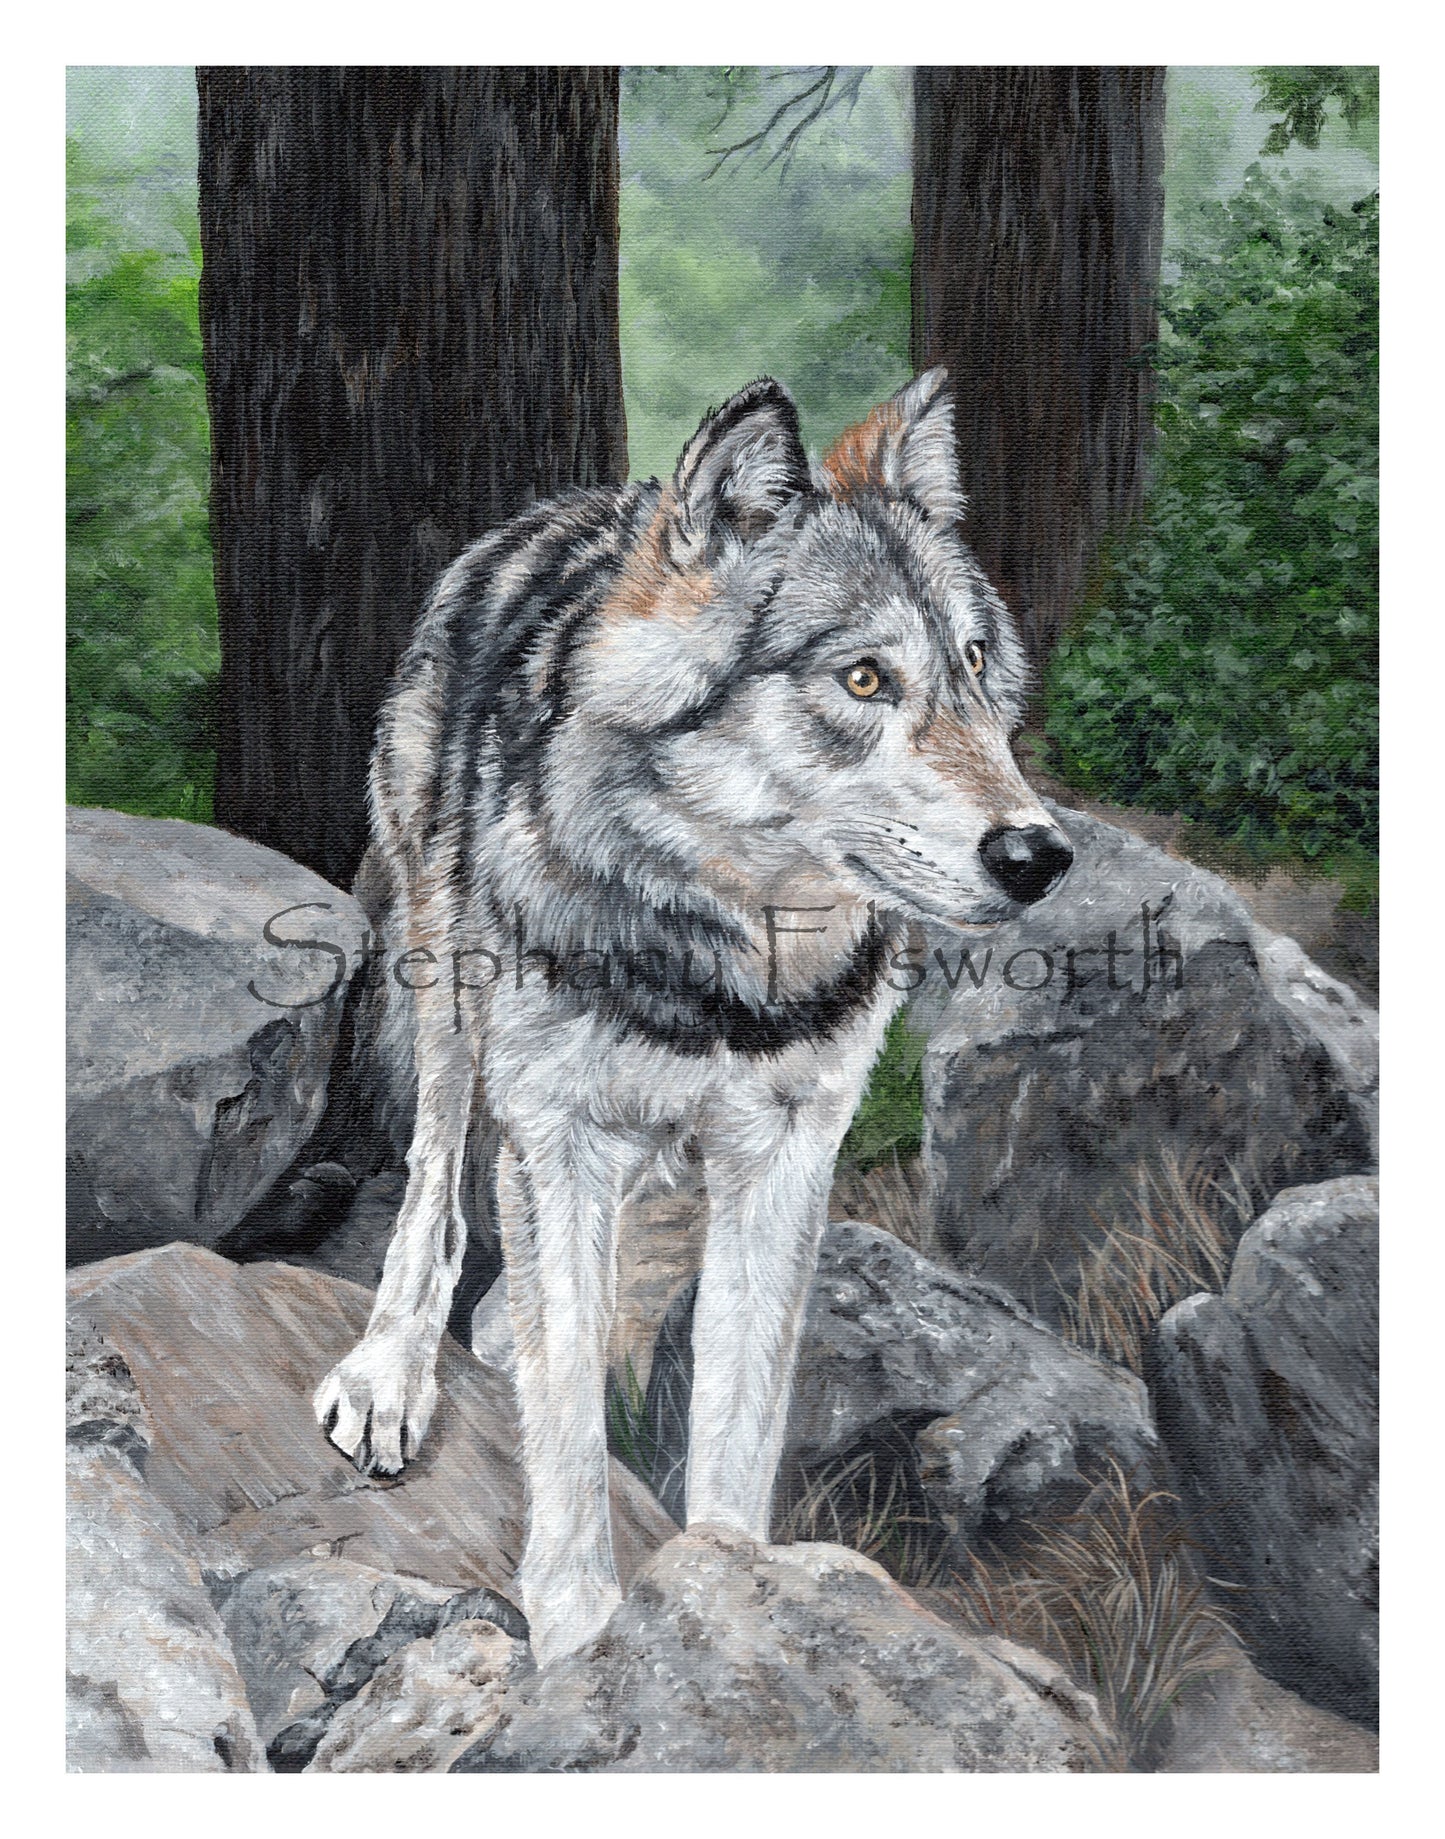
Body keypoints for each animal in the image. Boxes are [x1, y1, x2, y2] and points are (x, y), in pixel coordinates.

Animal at [313, 369, 1073, 1665]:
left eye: (976, 665)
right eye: (863, 680)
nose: (1040, 855)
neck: (726, 966)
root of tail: (570, 506)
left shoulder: (786, 1157)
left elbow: (734, 1417)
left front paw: (733, 1600)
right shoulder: (558, 1135)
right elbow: (568, 1425)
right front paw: (582, 1640)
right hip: (449, 991)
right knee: (434, 1190)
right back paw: (393, 1370)